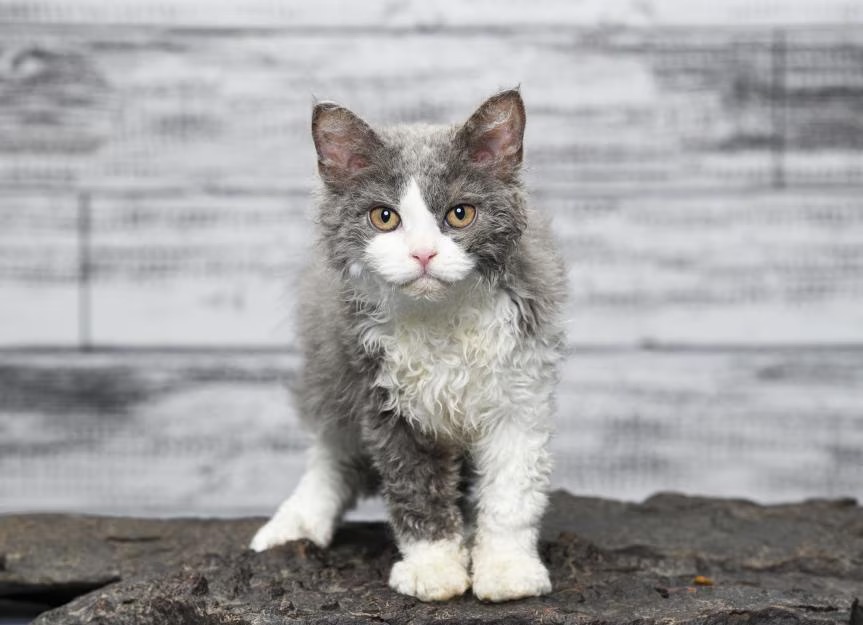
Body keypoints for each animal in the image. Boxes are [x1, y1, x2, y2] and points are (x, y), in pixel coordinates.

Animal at [251, 90, 568, 604]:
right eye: (385, 217)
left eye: (460, 214)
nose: (423, 253)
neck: (441, 319)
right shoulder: (384, 398)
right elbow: (415, 489)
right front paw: (434, 568)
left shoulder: (521, 391)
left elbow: (512, 492)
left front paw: (506, 569)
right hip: (329, 366)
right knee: (332, 451)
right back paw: (296, 521)